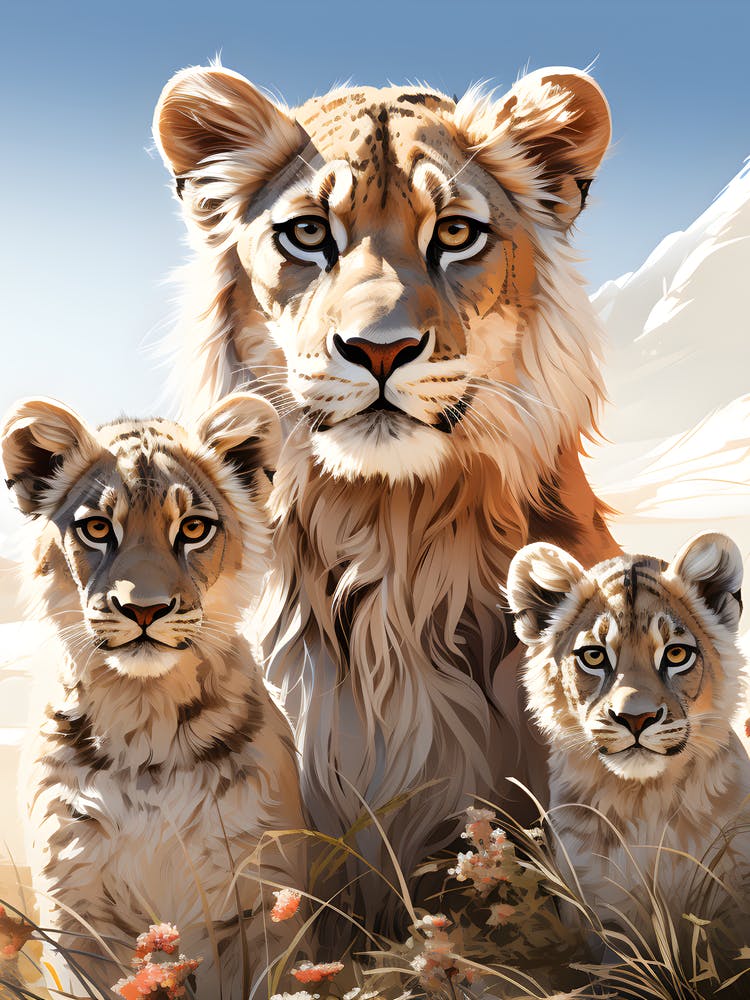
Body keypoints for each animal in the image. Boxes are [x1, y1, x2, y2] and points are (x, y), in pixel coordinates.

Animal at [2, 394, 307, 998]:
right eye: (97, 527)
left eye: (193, 528)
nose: (144, 609)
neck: (145, 722)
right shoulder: (75, 904)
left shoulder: (259, 893)